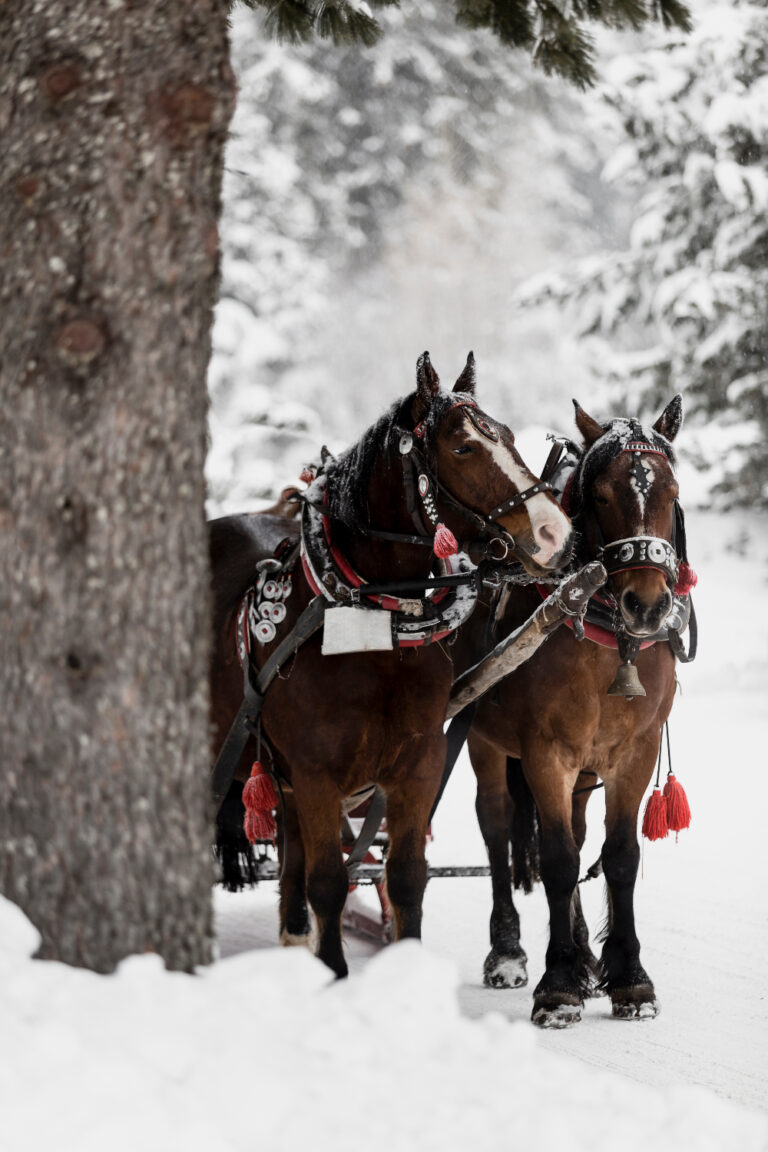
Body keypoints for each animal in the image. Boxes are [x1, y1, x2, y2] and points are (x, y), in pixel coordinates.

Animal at [208, 350, 571, 972]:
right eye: (463, 447)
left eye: (507, 435)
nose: (555, 532)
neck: (376, 628)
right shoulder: (318, 774)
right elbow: (330, 882)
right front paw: (332, 972)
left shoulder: (416, 765)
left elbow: (404, 880)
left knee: (293, 859)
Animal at [451, 393, 686, 1027]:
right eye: (601, 495)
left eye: (671, 492)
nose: (647, 606)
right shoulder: (545, 752)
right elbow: (556, 858)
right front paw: (558, 984)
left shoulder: (635, 752)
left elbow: (620, 856)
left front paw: (628, 977)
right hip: (484, 741)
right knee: (497, 826)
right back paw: (509, 952)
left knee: (581, 836)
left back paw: (583, 952)